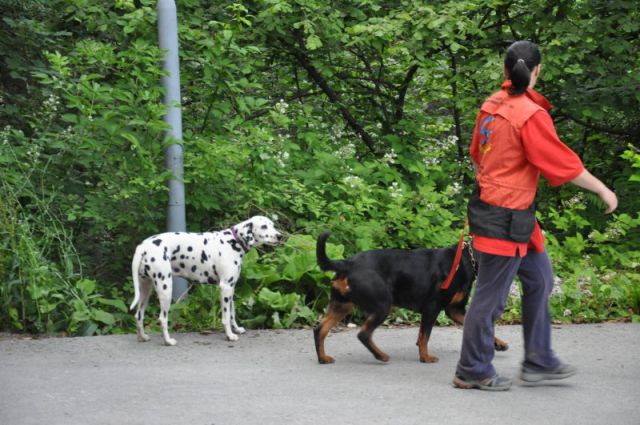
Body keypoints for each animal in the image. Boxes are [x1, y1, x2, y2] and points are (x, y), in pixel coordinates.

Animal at [130, 215, 282, 344]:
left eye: (272, 225)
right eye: (264, 226)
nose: (280, 236)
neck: (233, 241)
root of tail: (143, 246)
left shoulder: (231, 289)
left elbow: (232, 313)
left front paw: (237, 329)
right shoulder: (225, 287)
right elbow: (226, 317)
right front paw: (229, 335)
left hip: (146, 289)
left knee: (138, 315)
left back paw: (142, 337)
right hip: (165, 289)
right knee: (162, 318)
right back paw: (168, 341)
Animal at [312, 230, 508, 362]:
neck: (466, 260)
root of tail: (348, 263)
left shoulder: (455, 310)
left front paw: (498, 343)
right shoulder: (432, 307)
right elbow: (424, 336)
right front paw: (425, 357)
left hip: (342, 304)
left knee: (320, 329)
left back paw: (323, 358)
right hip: (382, 305)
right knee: (364, 334)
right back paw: (381, 356)